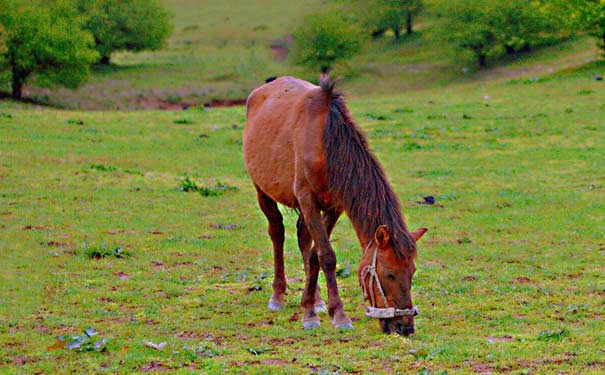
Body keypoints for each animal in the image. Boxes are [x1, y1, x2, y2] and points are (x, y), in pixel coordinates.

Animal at [243, 75, 428, 336]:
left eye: (412, 272)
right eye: (389, 274)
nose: (405, 326)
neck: (325, 144)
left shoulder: (334, 206)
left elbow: (315, 255)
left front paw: (312, 305)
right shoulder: (307, 199)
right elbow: (327, 256)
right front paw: (332, 315)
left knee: (303, 236)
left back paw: (317, 299)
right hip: (263, 191)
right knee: (277, 232)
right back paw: (277, 296)